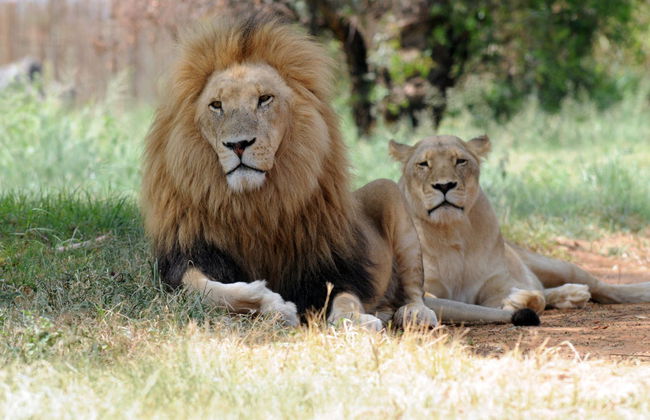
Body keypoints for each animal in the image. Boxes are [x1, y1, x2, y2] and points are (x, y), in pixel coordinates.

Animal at [140, 14, 441, 330]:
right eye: (216, 105)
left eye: (264, 99)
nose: (238, 145)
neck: (254, 204)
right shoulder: (185, 258)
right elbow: (206, 289)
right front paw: (271, 304)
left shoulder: (334, 263)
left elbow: (346, 298)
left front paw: (354, 321)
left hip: (392, 197)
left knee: (414, 288)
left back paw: (415, 314)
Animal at [390, 134, 650, 322]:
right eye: (423, 164)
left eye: (460, 161)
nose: (444, 185)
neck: (450, 231)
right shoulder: (426, 288)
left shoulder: (494, 284)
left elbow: (536, 298)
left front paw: (518, 301)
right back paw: (572, 295)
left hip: (556, 265)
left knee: (603, 288)